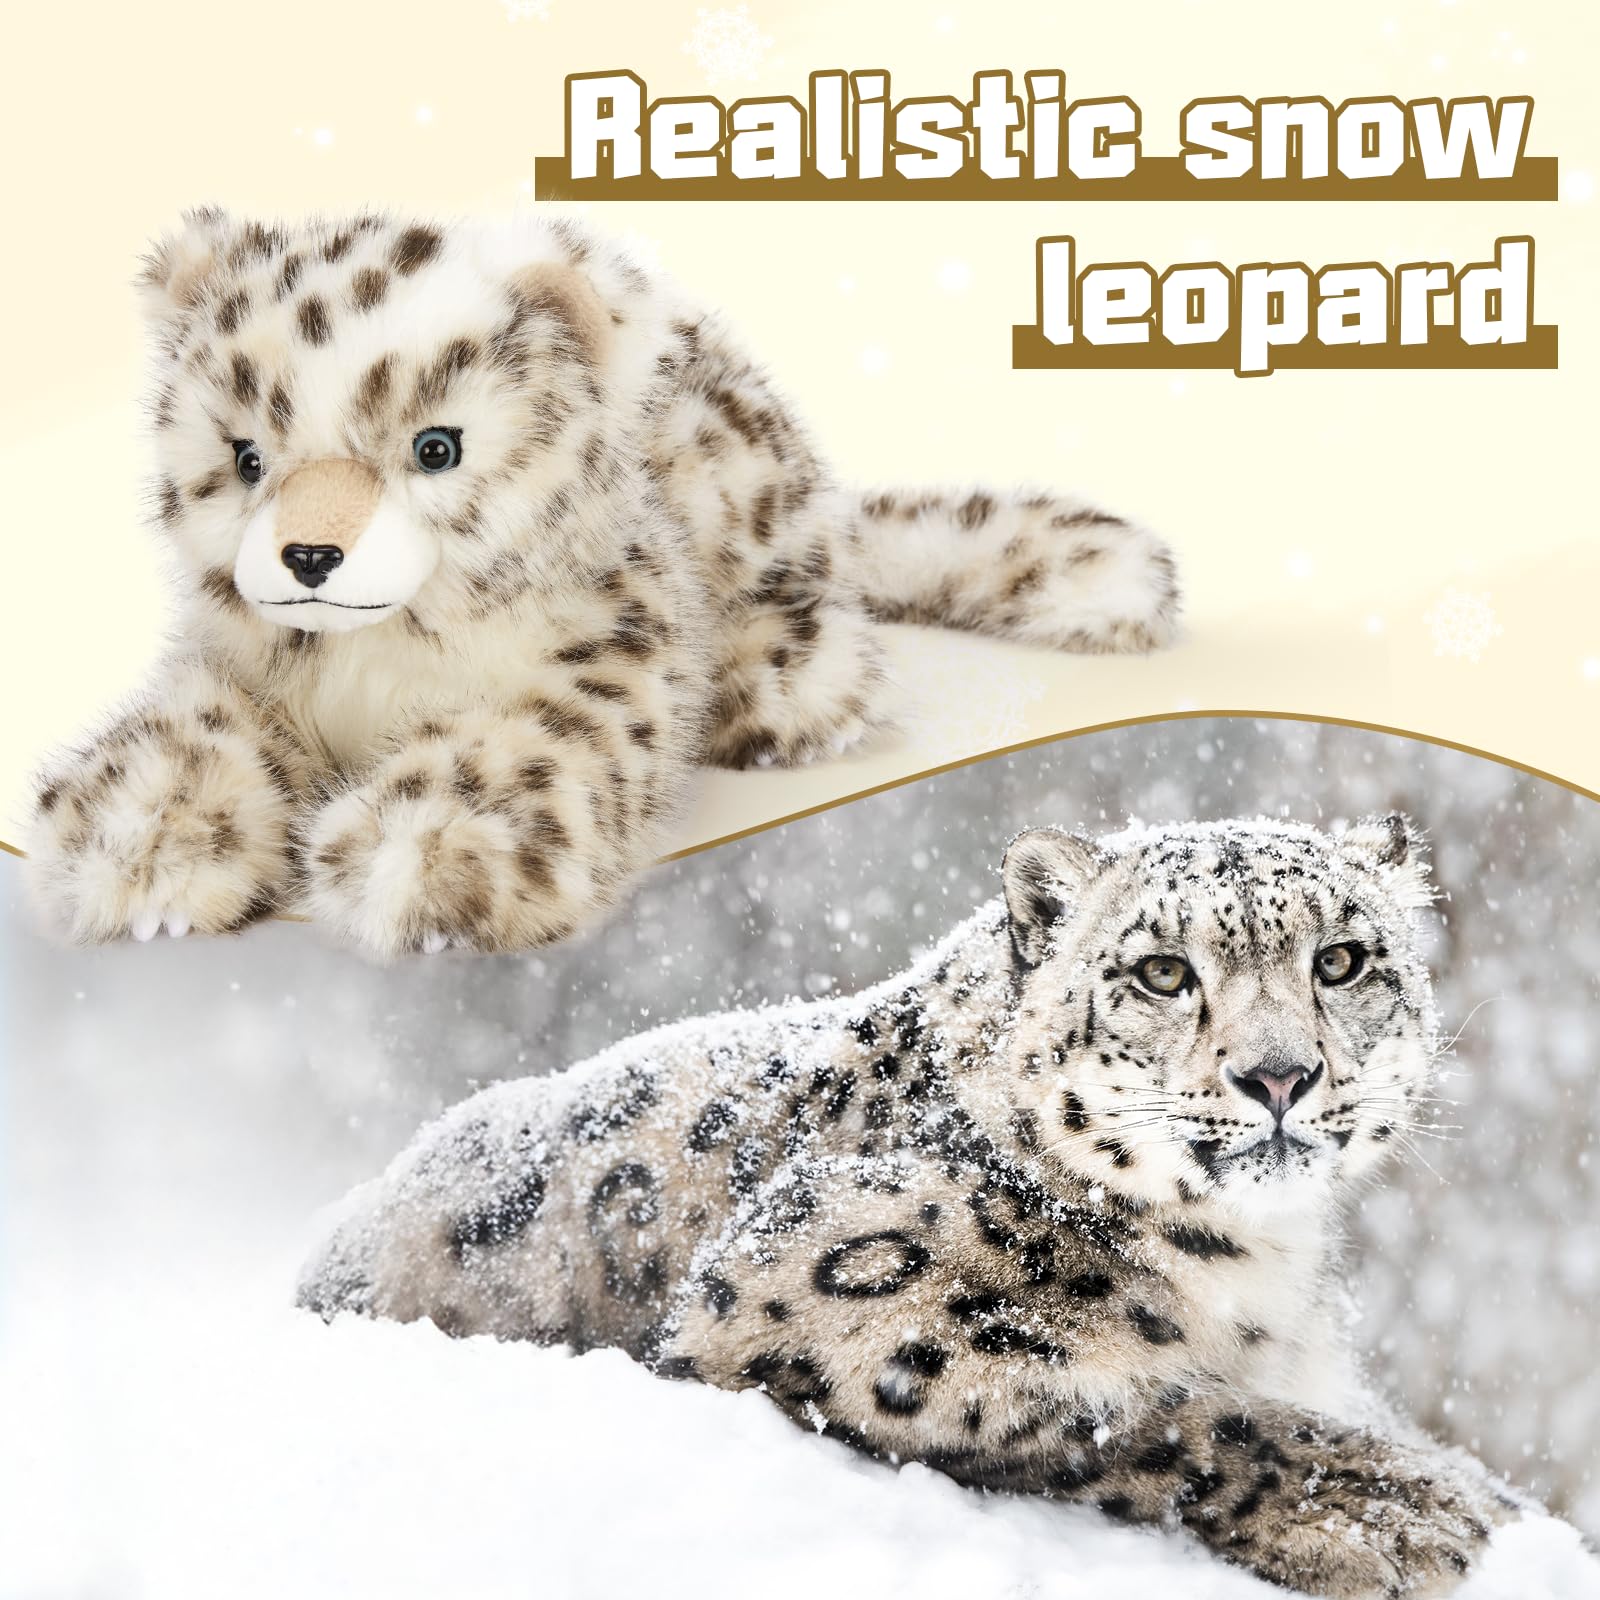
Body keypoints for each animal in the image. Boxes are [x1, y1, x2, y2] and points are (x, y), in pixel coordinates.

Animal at [24, 208, 1179, 957]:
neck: (377, 657)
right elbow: (192, 730)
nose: (308, 556)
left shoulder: (608, 659)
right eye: (247, 456)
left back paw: (787, 679)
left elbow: (527, 745)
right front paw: (140, 837)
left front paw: (421, 855)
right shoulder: (239, 666)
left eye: (436, 448)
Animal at [298, 813, 1542, 1597]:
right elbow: (1122, 1404)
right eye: (1161, 972)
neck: (1254, 1265)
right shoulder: (818, 1299)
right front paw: (1395, 1509)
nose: (1279, 1076)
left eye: (1341, 960)